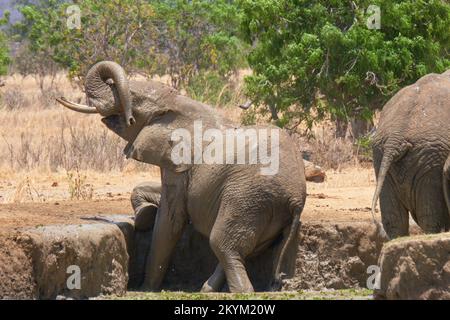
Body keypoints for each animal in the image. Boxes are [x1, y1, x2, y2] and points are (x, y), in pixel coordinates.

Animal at [57, 60, 306, 292]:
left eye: (132, 99)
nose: (127, 118)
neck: (178, 103)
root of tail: (295, 198)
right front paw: (145, 216)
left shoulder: (179, 160)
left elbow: (170, 220)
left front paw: (146, 288)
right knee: (243, 250)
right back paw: (207, 289)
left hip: (248, 199)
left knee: (223, 244)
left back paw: (237, 291)